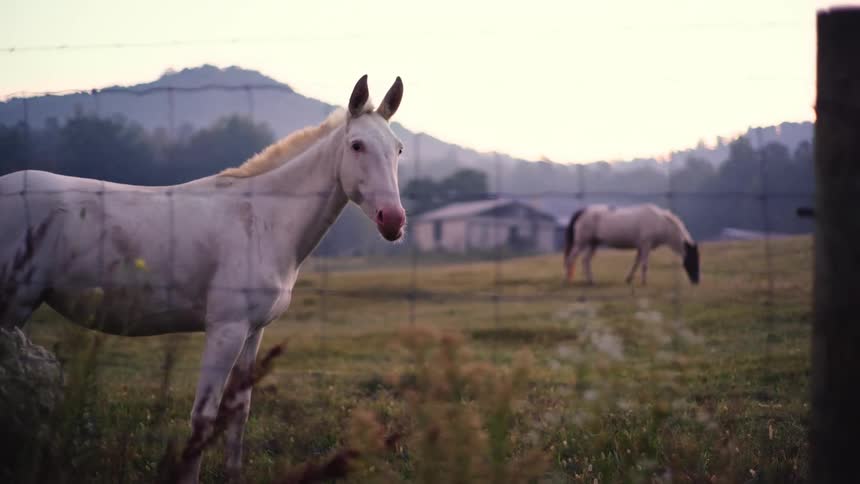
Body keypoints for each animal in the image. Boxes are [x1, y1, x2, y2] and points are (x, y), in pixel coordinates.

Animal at [0, 75, 406, 483]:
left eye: (398, 149)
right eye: (357, 145)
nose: (393, 220)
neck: (263, 218)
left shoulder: (253, 332)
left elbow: (238, 416)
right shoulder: (225, 330)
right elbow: (203, 419)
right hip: (15, 304)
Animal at [562, 204, 700, 286]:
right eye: (692, 259)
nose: (696, 280)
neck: (660, 222)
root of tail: (583, 211)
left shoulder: (641, 247)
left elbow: (636, 263)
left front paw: (629, 279)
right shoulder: (646, 245)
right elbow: (644, 264)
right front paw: (644, 282)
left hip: (593, 244)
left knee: (585, 260)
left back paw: (591, 281)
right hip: (581, 243)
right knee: (571, 259)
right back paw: (568, 280)